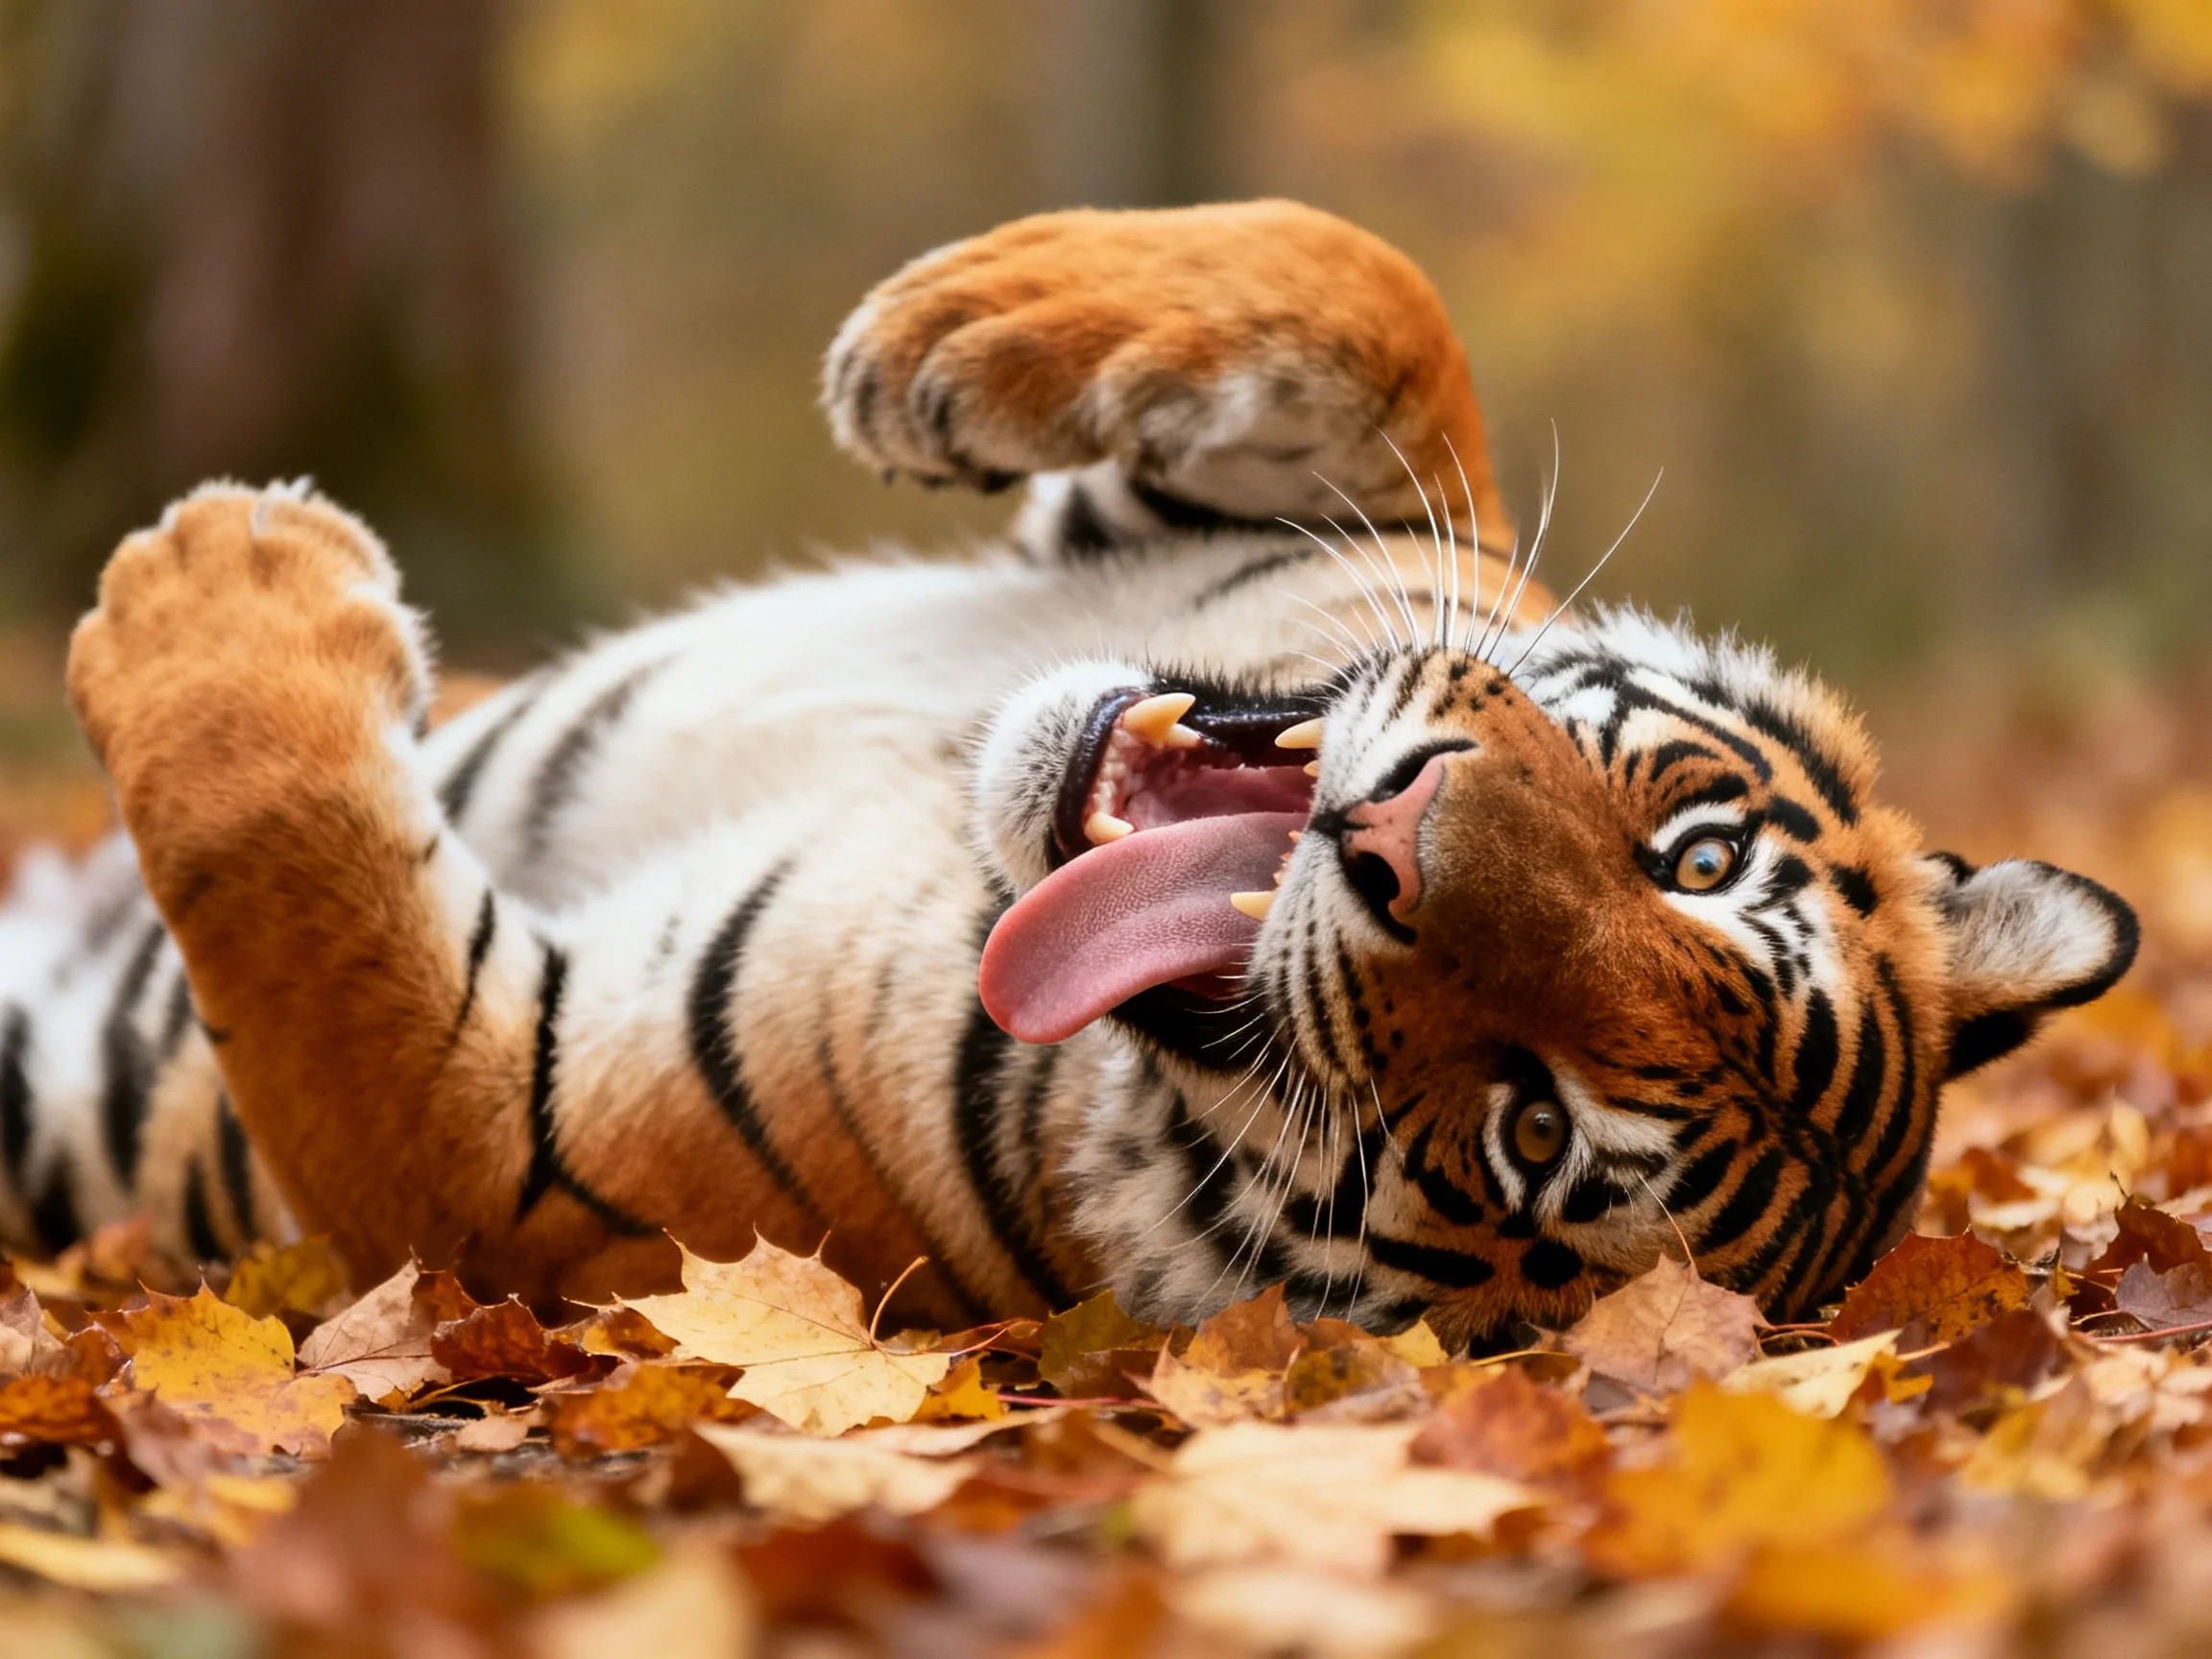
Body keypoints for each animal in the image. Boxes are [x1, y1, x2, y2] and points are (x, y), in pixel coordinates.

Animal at [0, 200, 2136, 1351]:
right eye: (1689, 857)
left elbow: (297, 898)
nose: (1391, 833)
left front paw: (216, 583)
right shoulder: (1390, 539)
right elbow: (1377, 295)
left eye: (1539, 1131)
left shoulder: (497, 1162)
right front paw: (966, 324)